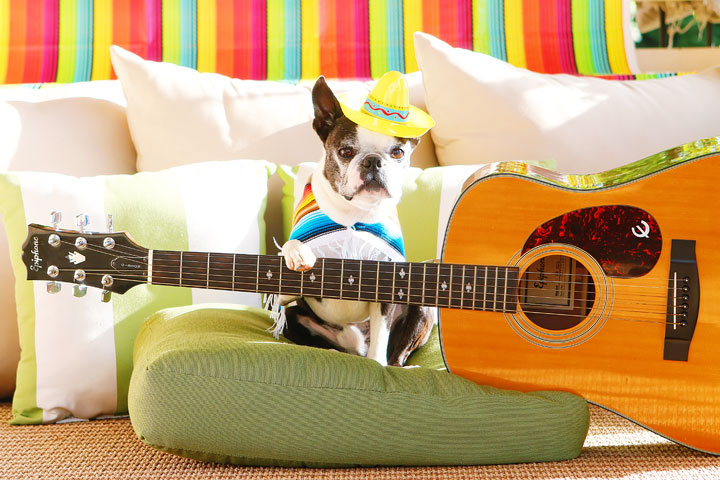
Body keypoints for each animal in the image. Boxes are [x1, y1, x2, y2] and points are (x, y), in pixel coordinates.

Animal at [272, 73, 436, 366]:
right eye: (346, 152)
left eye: (398, 153)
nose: (373, 161)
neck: (354, 215)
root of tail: (353, 345)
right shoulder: (285, 292)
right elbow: (291, 250)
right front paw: (298, 253)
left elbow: (381, 338)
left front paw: (377, 363)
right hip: (295, 319)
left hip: (422, 305)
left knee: (397, 354)